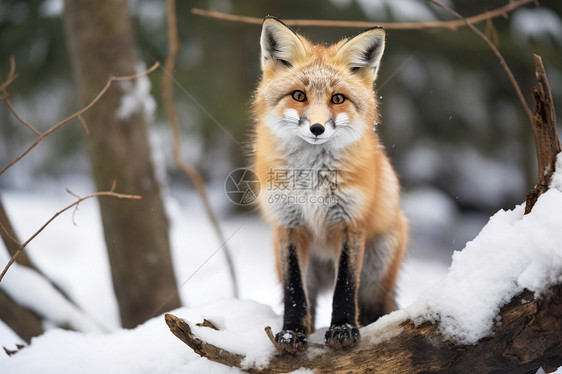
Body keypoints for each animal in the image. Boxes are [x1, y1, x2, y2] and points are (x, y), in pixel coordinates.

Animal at [250, 16, 406, 354]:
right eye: (299, 95)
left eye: (337, 99)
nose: (317, 128)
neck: (312, 178)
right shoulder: (289, 223)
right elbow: (294, 292)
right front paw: (290, 334)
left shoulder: (349, 221)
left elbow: (345, 286)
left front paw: (343, 330)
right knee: (307, 300)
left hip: (376, 272)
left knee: (370, 306)